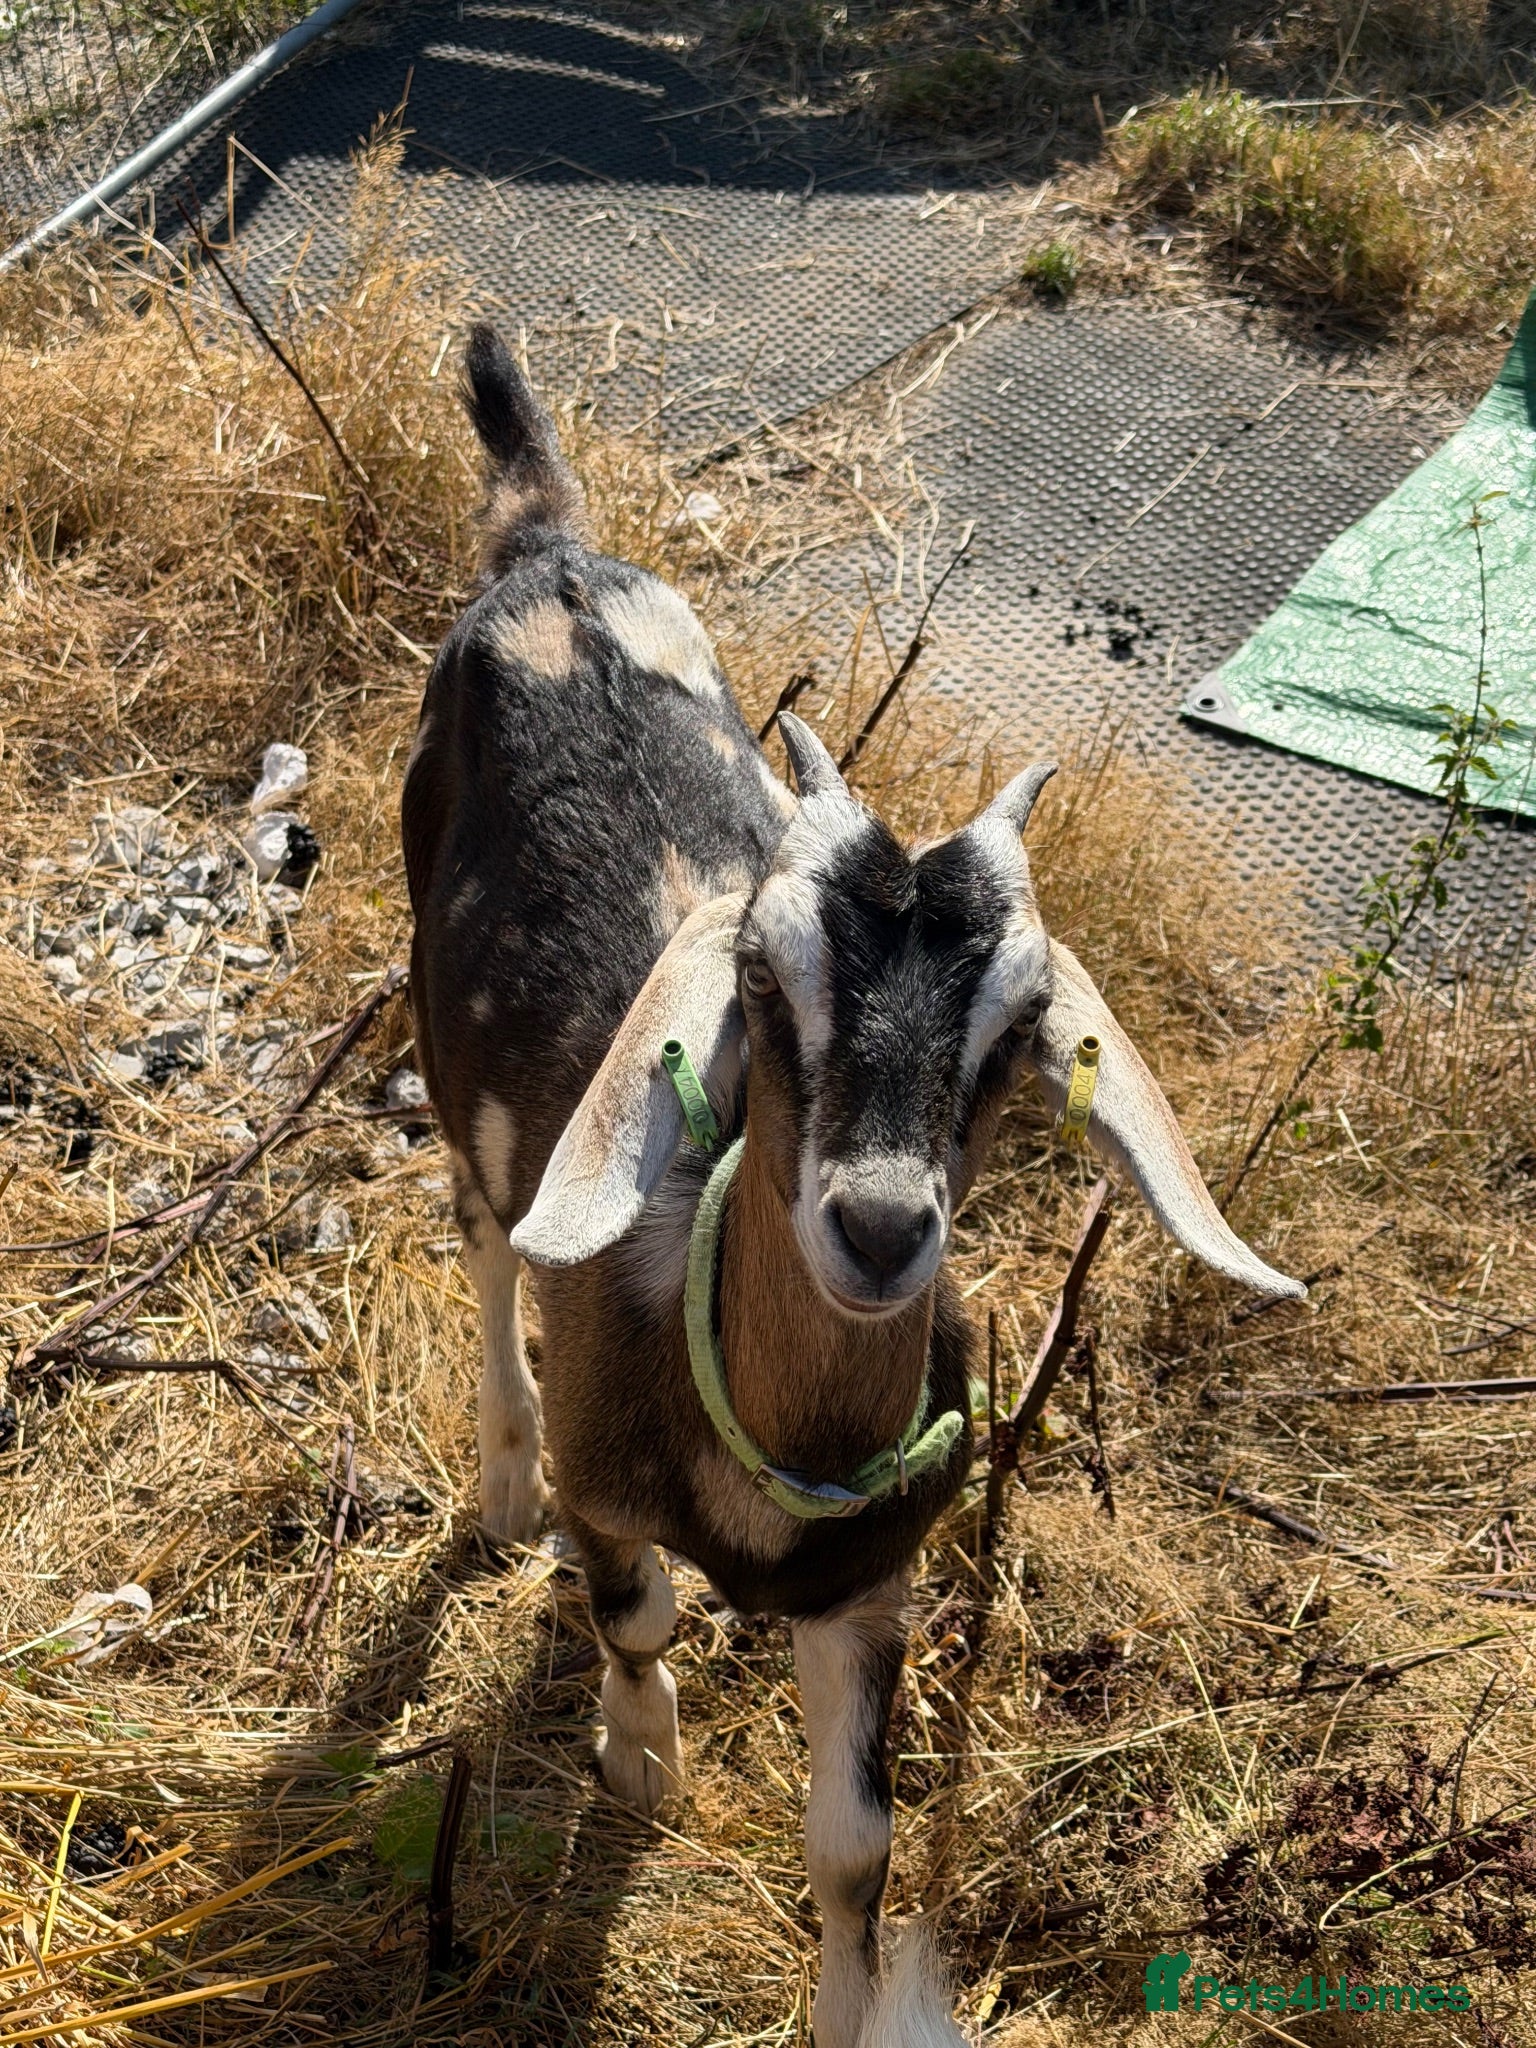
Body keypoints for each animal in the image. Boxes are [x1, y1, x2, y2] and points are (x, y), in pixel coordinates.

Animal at [402, 325, 1303, 2047]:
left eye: (1022, 1028)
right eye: (759, 981)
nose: (880, 1228)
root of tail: (547, 553)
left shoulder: (877, 1589)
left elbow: (858, 1844)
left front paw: (841, 1998)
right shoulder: (616, 1483)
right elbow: (633, 1615)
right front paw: (644, 1759)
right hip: (442, 1041)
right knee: (482, 1248)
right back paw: (498, 1476)